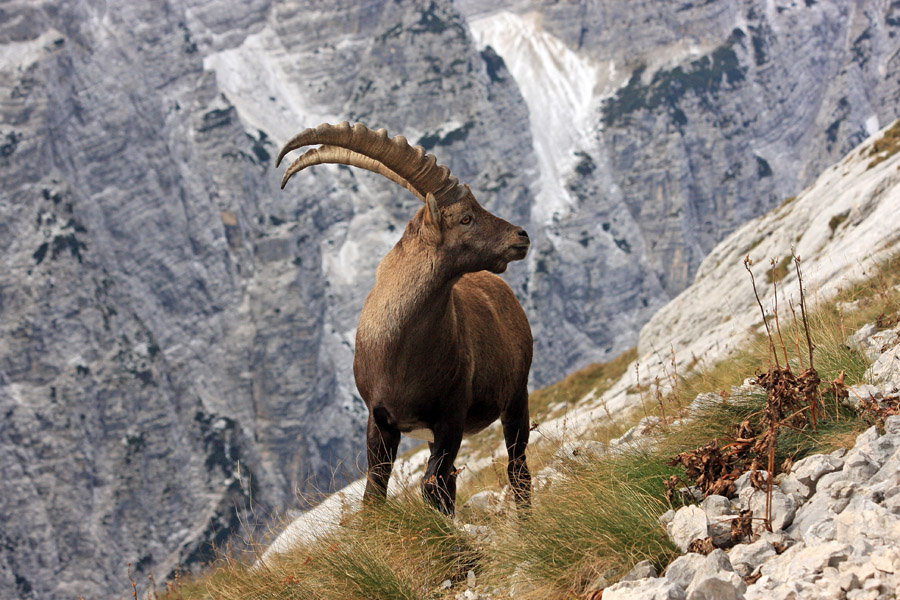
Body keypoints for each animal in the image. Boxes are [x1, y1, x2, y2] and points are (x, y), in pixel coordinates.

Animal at [276, 122, 532, 515]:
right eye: (466, 218)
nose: (521, 235)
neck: (400, 350)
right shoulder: (380, 421)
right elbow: (375, 495)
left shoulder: (450, 418)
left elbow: (432, 488)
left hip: (516, 395)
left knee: (517, 468)